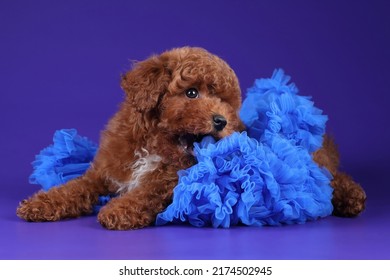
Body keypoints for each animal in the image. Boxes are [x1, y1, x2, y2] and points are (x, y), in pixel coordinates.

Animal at [18, 46, 245, 230]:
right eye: (191, 93)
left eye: (224, 101)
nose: (222, 121)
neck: (152, 144)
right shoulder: (102, 173)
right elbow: (74, 187)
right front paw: (41, 203)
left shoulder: (167, 181)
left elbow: (145, 193)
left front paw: (117, 210)